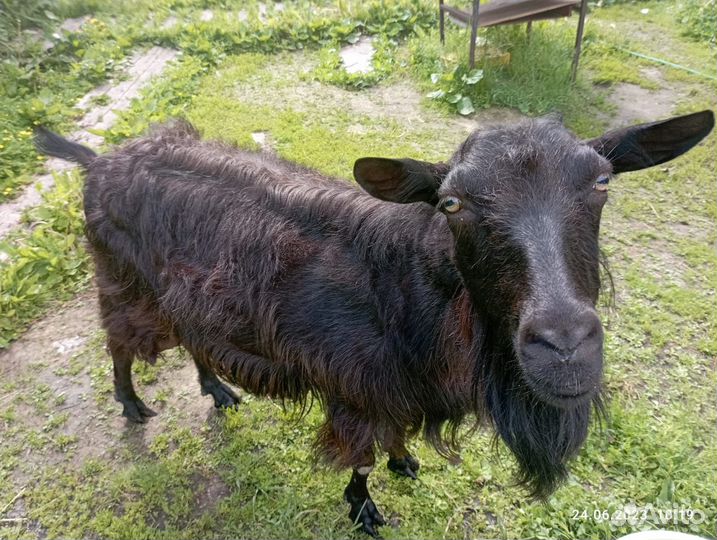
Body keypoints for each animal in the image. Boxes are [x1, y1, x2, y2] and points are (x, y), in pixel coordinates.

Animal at [35, 110, 713, 536]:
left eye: (602, 182)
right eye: (451, 203)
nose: (565, 344)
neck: (411, 284)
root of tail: (99, 160)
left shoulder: (397, 387)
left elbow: (395, 436)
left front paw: (404, 462)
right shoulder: (357, 388)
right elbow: (358, 460)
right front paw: (364, 511)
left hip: (183, 297)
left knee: (196, 342)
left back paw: (218, 390)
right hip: (124, 283)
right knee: (118, 347)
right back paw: (131, 405)